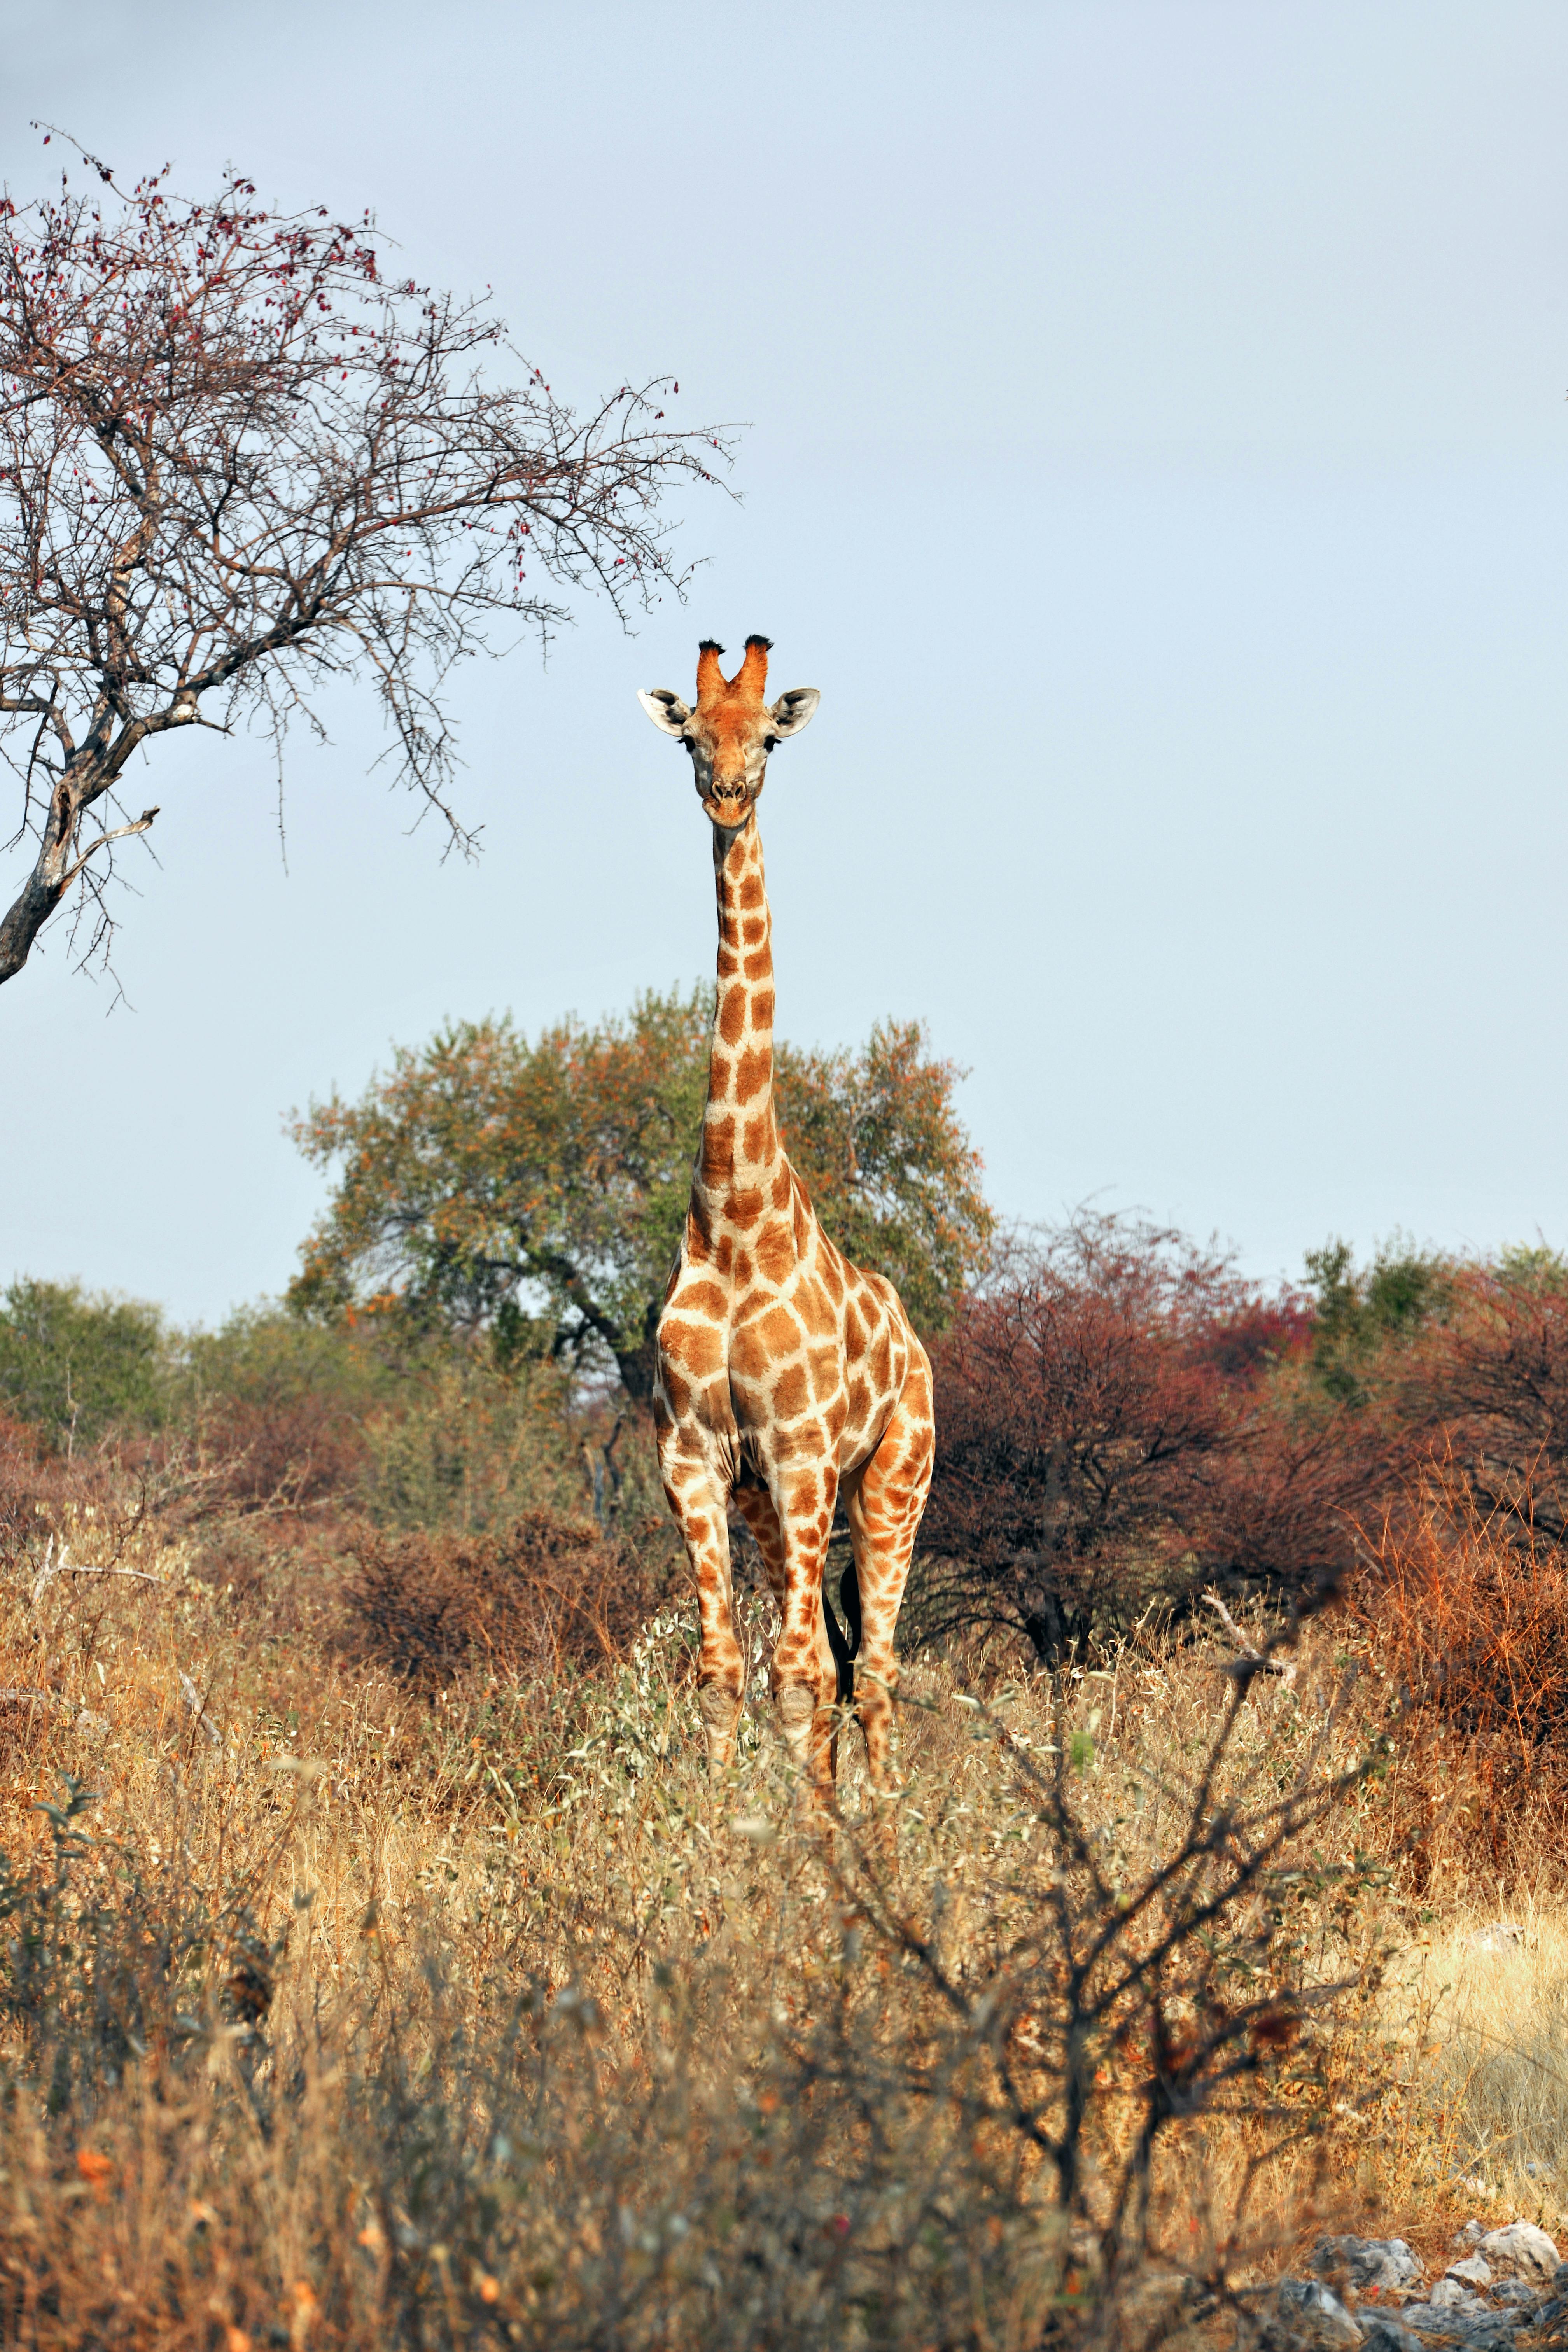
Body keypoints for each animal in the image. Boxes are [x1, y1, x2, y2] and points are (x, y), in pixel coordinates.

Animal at [638, 634, 936, 1811]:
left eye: (767, 737)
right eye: (690, 735)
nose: (727, 794)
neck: (733, 1216)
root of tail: (917, 1343)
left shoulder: (805, 1451)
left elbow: (803, 1667)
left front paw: (814, 1851)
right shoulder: (694, 1453)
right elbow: (728, 1668)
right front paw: (717, 1840)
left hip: (893, 1478)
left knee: (878, 1666)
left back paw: (884, 1830)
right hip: (772, 1496)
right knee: (839, 1662)